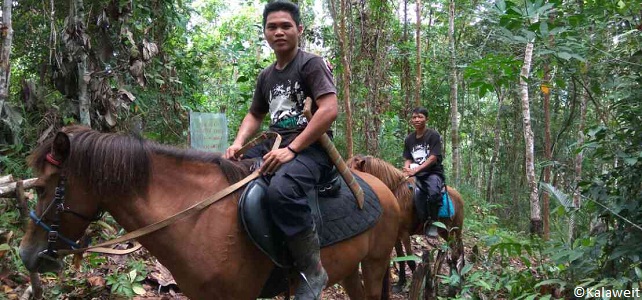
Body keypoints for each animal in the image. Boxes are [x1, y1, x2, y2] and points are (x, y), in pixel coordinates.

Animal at [18, 125, 400, 298]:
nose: (25, 254)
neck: (196, 219)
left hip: (376, 262)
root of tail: (381, 188)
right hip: (350, 269)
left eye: (44, 187)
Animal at [348, 155, 462, 290]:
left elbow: (410, 261)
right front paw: (400, 283)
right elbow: (401, 258)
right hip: (446, 231)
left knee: (457, 251)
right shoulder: (396, 236)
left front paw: (413, 285)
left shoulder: (404, 234)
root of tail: (459, 196)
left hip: (456, 230)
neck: (396, 195)